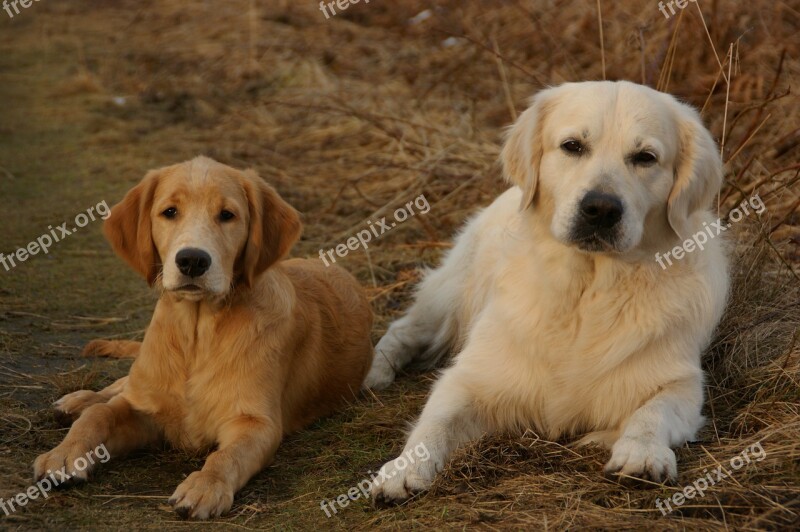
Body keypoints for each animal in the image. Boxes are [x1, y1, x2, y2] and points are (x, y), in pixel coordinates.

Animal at [35, 157, 376, 520]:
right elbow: (100, 415)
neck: (197, 335)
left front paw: (204, 486)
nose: (192, 260)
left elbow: (227, 455)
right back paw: (78, 400)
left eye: (227, 215)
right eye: (169, 212)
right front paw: (65, 454)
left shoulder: (256, 422)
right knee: (118, 387)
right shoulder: (143, 409)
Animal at [368, 80, 732, 502]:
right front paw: (404, 469)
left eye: (645, 157)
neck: (585, 292)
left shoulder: (679, 381)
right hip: (447, 299)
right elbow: (435, 422)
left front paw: (641, 453)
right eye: (573, 146)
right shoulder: (474, 377)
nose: (601, 209)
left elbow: (652, 412)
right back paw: (375, 372)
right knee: (402, 329)